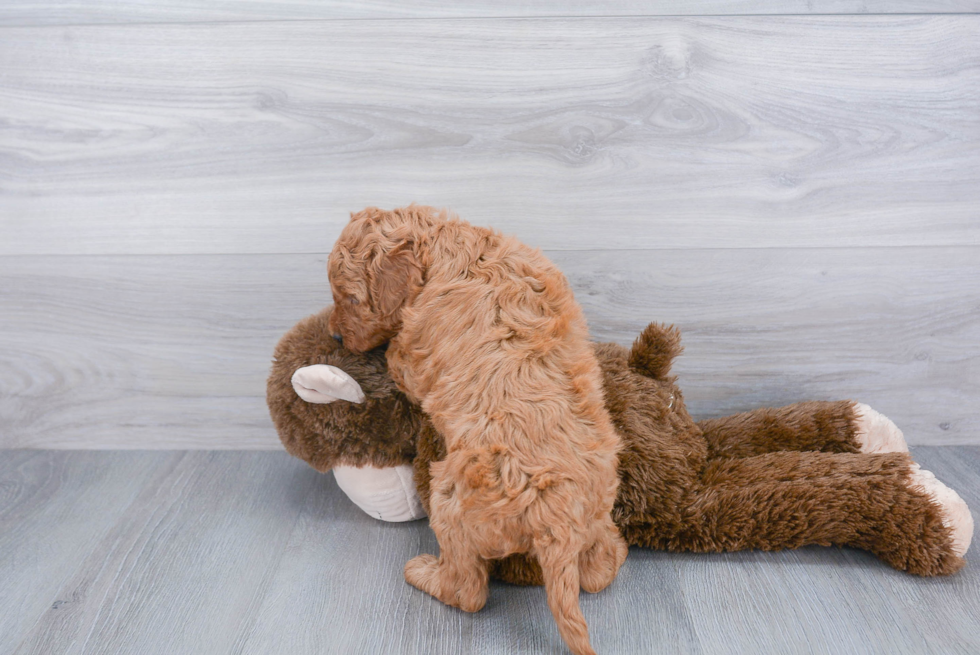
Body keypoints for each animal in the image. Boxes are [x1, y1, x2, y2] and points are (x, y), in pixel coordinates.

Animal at [326, 206, 624, 655]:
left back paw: (424, 573)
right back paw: (617, 549)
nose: (335, 334)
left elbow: (398, 359)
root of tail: (554, 520)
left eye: (350, 298)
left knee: (468, 591)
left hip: (450, 504)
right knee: (598, 571)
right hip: (598, 510)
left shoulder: (412, 356)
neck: (451, 248)